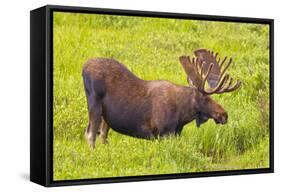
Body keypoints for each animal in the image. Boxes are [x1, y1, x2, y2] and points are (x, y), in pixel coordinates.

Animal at [81, 49, 241, 148]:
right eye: (206, 98)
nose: (224, 114)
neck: (183, 115)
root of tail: (83, 68)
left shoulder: (175, 133)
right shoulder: (162, 133)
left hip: (106, 117)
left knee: (102, 135)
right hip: (94, 105)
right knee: (90, 134)